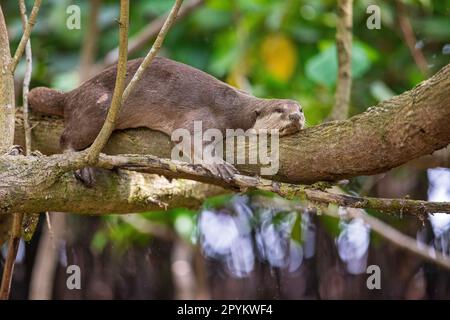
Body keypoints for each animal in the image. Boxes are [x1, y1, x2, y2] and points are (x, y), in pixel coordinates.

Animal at [29, 56, 306, 184]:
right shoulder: (205, 116)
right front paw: (217, 164)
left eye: (300, 108)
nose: (295, 116)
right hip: (98, 108)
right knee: (66, 136)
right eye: (280, 109)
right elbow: (190, 137)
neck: (235, 107)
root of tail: (72, 94)